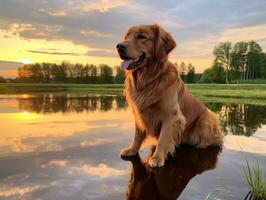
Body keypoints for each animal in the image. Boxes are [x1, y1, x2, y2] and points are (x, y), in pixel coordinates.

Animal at [117, 23, 223, 167]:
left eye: (142, 37)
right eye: (126, 37)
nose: (119, 46)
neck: (148, 80)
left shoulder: (171, 116)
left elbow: (163, 138)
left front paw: (157, 158)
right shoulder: (139, 113)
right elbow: (137, 136)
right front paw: (132, 149)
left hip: (207, 119)